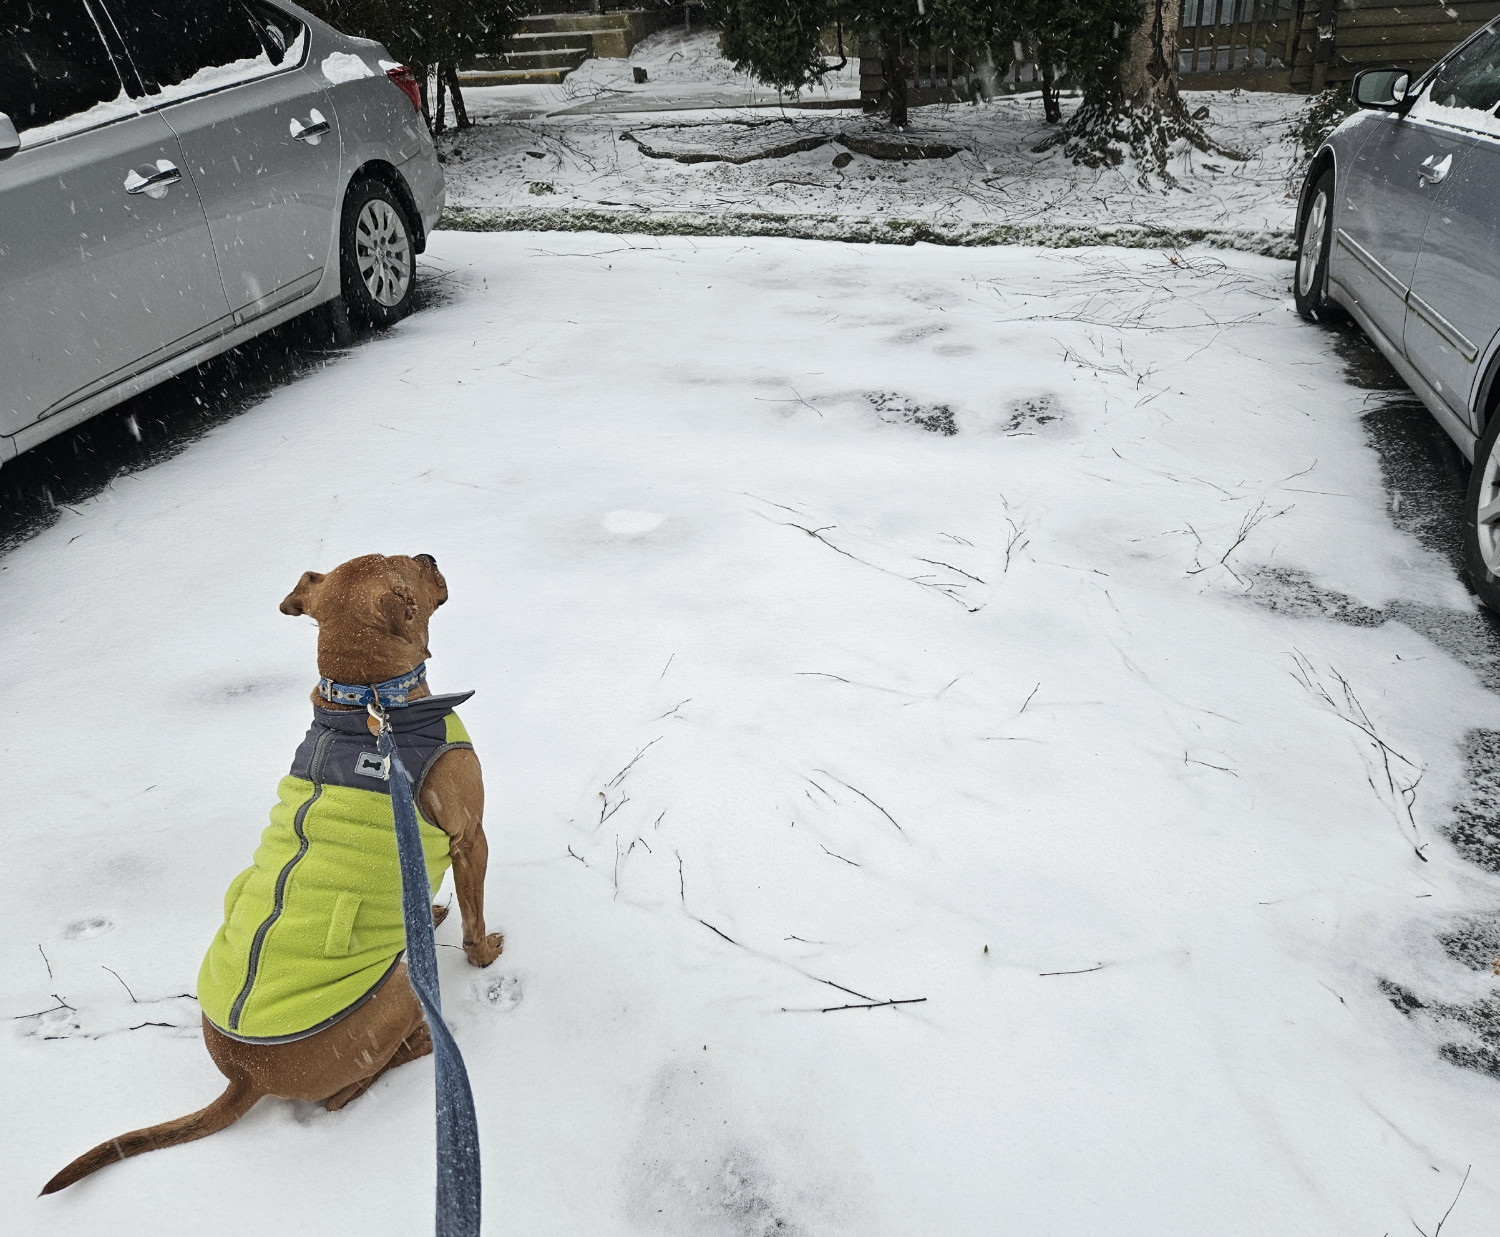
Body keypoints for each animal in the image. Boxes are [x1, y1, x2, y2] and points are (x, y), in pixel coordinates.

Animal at [43, 548, 501, 1187]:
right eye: (405, 567)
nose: (430, 555)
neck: (366, 703)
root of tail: (244, 1074)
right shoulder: (470, 837)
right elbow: (476, 920)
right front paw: (487, 955)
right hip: (396, 999)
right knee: (345, 1093)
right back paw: (421, 1047)